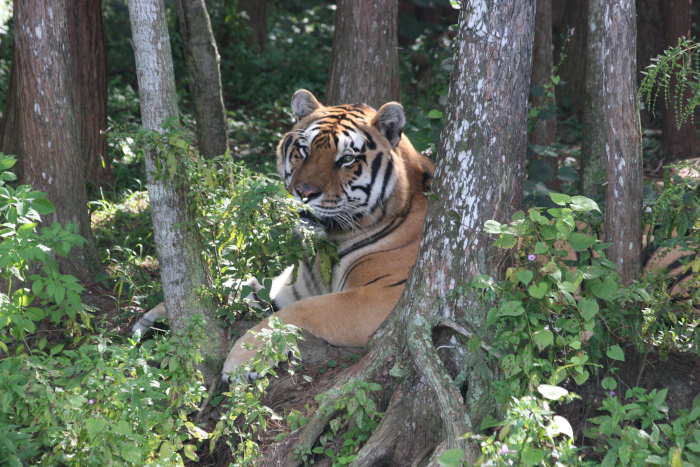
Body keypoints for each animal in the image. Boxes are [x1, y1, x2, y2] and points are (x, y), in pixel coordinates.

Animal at [132, 89, 434, 382]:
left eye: (347, 158)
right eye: (304, 150)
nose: (304, 192)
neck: (326, 246)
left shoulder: (381, 298)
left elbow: (301, 311)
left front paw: (242, 358)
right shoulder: (296, 285)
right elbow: (239, 287)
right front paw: (155, 318)